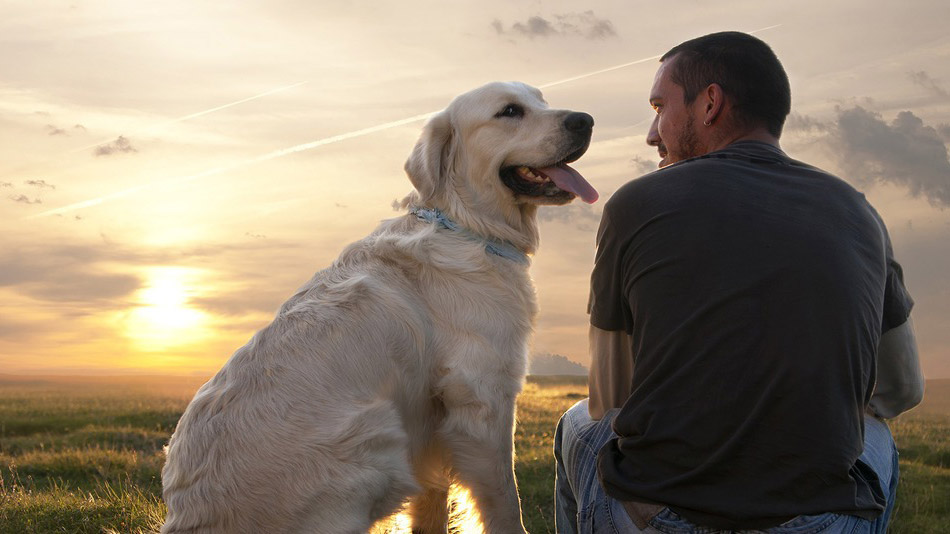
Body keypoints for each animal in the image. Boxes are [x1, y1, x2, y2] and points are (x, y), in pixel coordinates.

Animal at [162, 80, 596, 534]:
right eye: (509, 111)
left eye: (542, 100)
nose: (585, 120)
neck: (466, 226)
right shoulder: (482, 398)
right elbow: (505, 502)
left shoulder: (433, 423)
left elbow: (432, 503)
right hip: (378, 436)